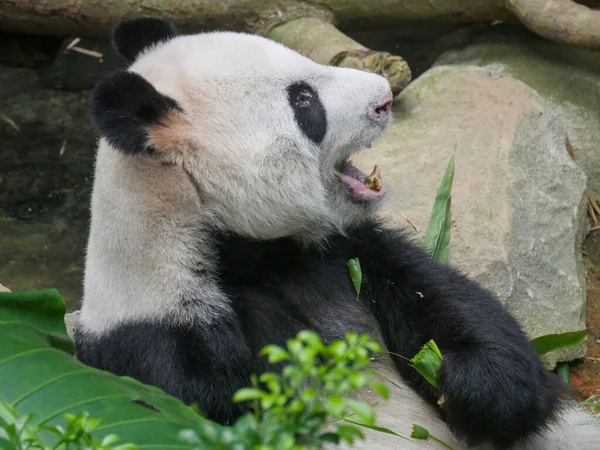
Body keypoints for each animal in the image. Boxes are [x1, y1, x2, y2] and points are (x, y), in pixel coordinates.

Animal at [75, 17, 600, 450]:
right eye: (303, 99)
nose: (385, 97)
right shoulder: (164, 353)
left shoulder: (345, 250)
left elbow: (452, 306)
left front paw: (469, 383)